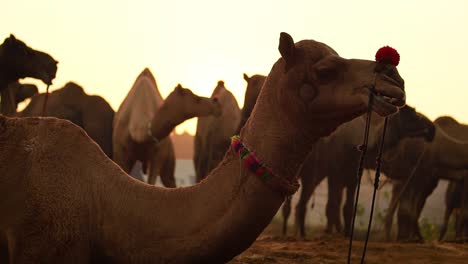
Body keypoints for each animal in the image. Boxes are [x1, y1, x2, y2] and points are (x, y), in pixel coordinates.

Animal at [282, 105, 436, 237]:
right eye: (413, 115)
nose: (432, 129)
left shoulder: (352, 176)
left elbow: (348, 208)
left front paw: (345, 234)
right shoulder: (335, 174)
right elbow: (333, 206)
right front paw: (331, 233)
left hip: (314, 174)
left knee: (300, 203)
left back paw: (299, 233)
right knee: (299, 203)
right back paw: (296, 234)